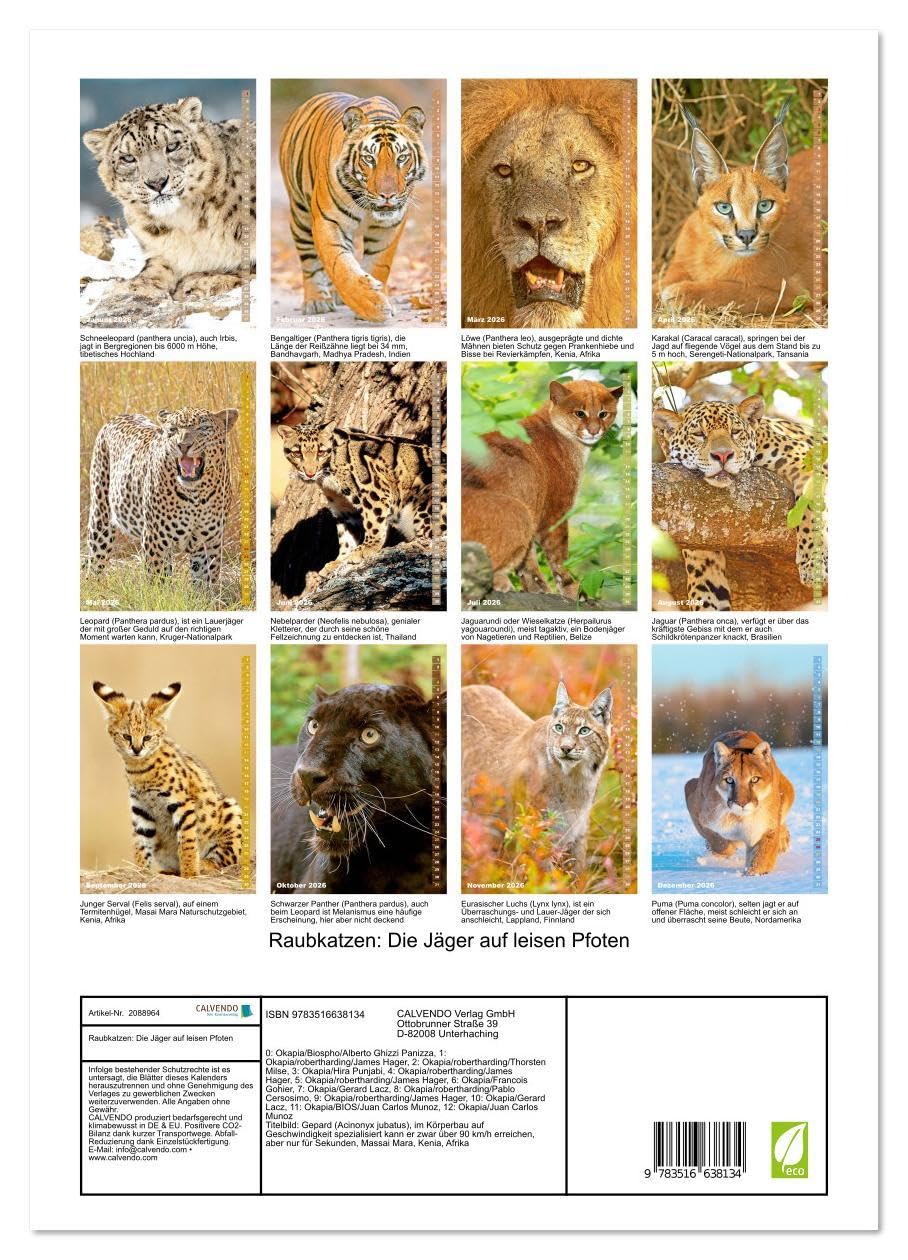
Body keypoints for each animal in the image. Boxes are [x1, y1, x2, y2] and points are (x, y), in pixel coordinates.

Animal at [83, 96, 256, 302]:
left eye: (172, 146)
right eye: (128, 158)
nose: (157, 182)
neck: (188, 224)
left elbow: (246, 266)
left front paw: (201, 281)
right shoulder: (159, 253)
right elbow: (154, 270)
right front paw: (131, 286)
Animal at [87, 406, 238, 587]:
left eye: (203, 428)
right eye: (173, 429)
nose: (183, 445)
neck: (195, 494)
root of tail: (120, 416)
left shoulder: (208, 544)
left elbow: (205, 583)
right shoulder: (155, 540)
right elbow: (159, 581)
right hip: (100, 519)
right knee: (94, 562)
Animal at [278, 93, 427, 323]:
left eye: (402, 158)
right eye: (369, 159)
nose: (388, 195)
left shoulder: (389, 227)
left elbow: (378, 264)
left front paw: (377, 299)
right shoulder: (328, 221)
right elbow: (339, 265)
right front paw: (371, 305)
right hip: (300, 216)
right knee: (309, 260)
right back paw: (316, 301)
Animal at [653, 394, 827, 610]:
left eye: (735, 432)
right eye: (699, 434)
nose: (722, 455)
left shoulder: (807, 462)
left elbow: (810, 510)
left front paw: (813, 563)